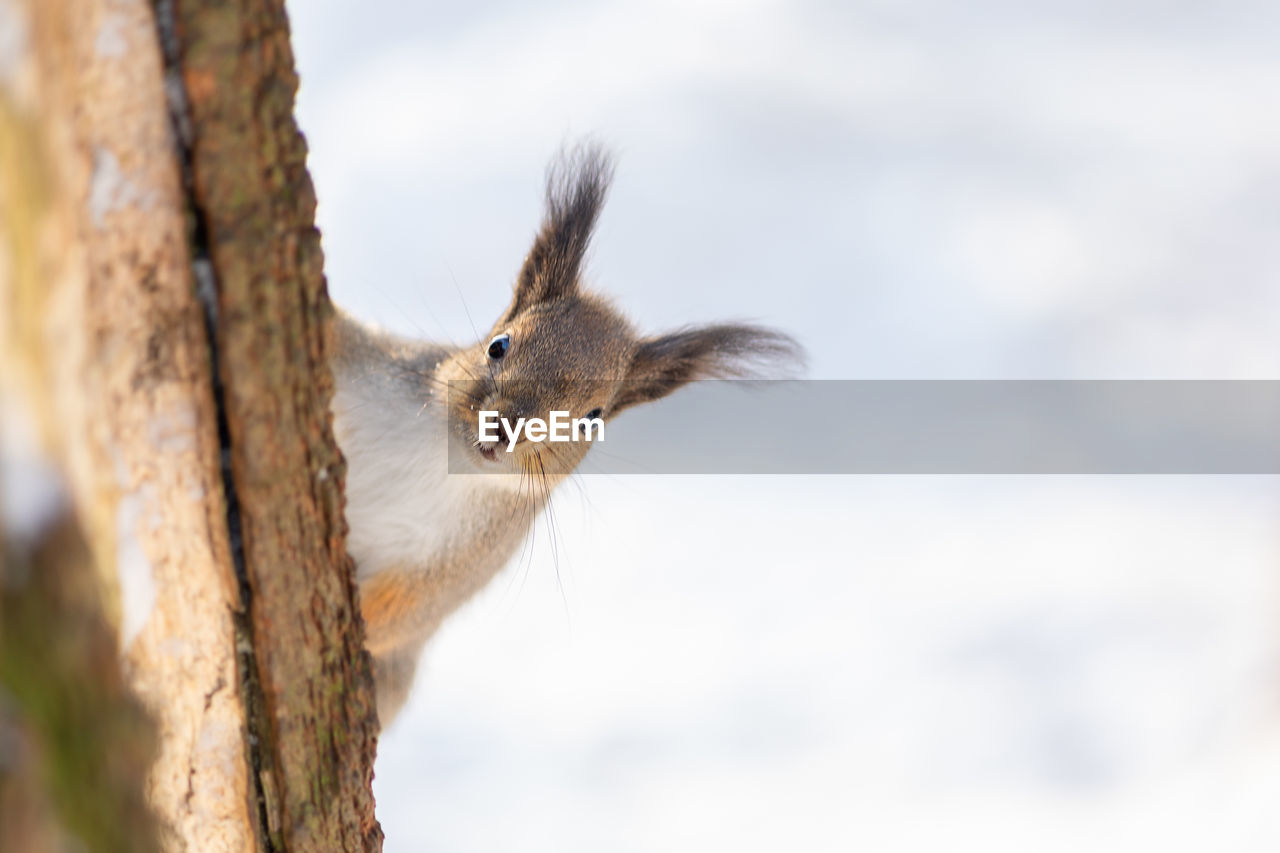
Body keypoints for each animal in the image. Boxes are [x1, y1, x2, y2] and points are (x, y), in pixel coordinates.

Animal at [330, 142, 798, 722]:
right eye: (498, 345)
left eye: (592, 418)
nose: (504, 429)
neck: (443, 465)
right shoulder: (377, 369)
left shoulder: (463, 559)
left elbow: (405, 609)